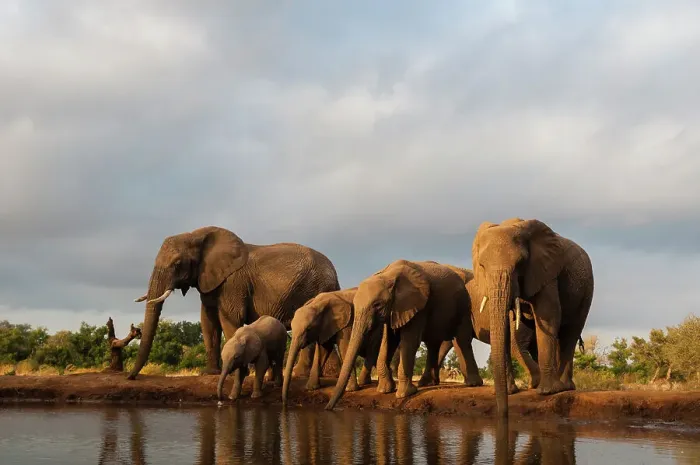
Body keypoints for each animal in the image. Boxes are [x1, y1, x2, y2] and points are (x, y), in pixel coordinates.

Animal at [128, 225, 341, 381]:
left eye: (177, 264)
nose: (131, 377)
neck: (197, 236)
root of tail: (335, 274)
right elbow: (208, 322)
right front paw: (209, 373)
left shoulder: (233, 283)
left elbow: (229, 320)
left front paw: (236, 373)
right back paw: (331, 375)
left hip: (314, 289)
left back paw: (300, 374)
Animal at [325, 260, 470, 410]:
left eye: (377, 305)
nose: (328, 408)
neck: (388, 276)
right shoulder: (394, 309)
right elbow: (389, 341)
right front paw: (385, 390)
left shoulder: (418, 306)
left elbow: (410, 342)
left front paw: (406, 394)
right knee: (433, 343)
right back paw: (427, 384)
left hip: (462, 306)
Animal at [472, 218, 594, 416]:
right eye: (482, 266)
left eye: (520, 263)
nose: (503, 413)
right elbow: (507, 327)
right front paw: (511, 391)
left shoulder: (546, 273)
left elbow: (548, 318)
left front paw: (547, 392)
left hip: (587, 289)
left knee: (571, 332)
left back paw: (564, 387)